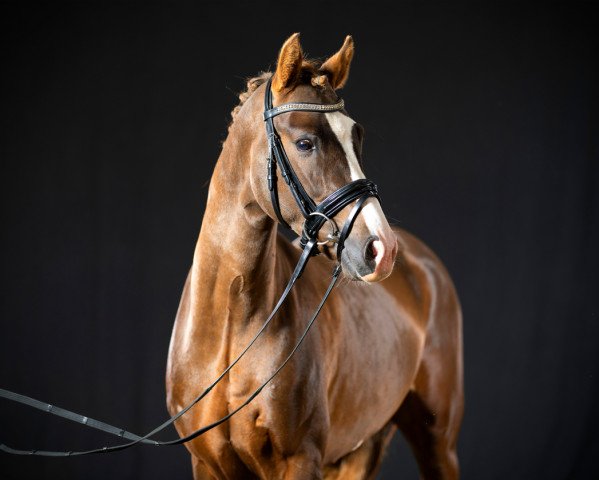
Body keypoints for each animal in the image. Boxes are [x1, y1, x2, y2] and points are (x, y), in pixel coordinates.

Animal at [164, 31, 464, 478]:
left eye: (357, 138)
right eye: (305, 143)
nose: (382, 248)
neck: (232, 326)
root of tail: (423, 264)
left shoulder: (300, 459)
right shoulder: (208, 464)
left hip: (436, 441)